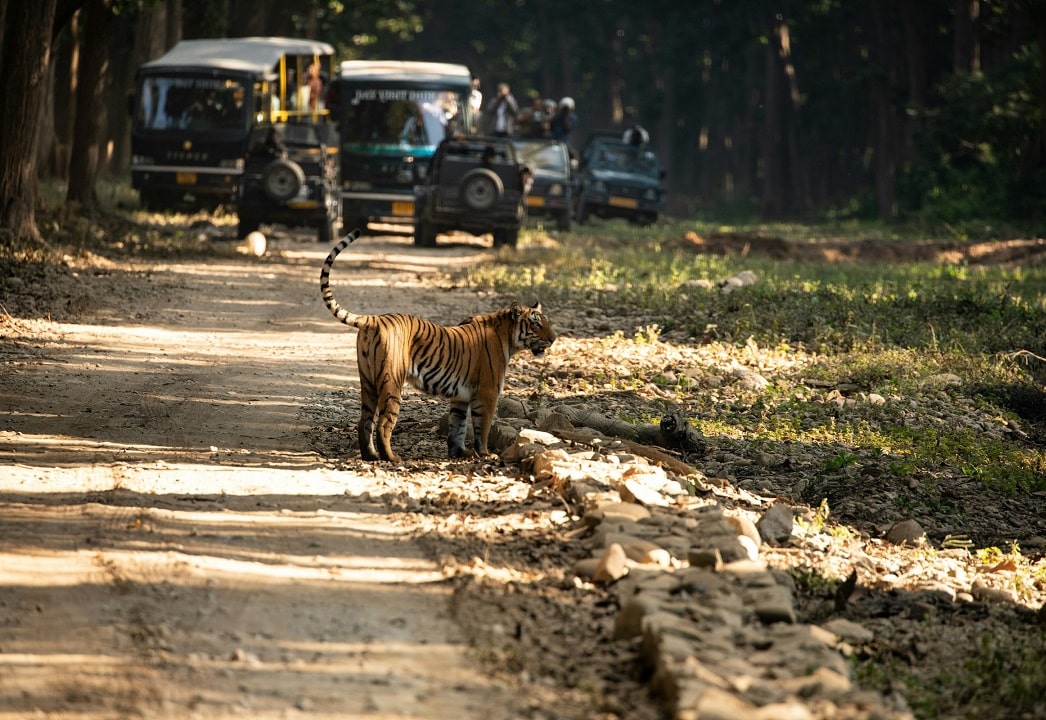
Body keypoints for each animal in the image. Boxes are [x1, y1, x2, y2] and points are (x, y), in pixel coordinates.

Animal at [317, 228, 556, 460]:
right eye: (537, 324)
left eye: (547, 322)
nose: (553, 339)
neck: (507, 336)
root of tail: (374, 319)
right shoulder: (488, 392)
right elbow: (484, 427)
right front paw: (485, 454)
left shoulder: (461, 397)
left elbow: (458, 426)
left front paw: (459, 453)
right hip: (391, 381)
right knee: (384, 423)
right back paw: (391, 458)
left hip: (367, 381)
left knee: (364, 422)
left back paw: (371, 456)